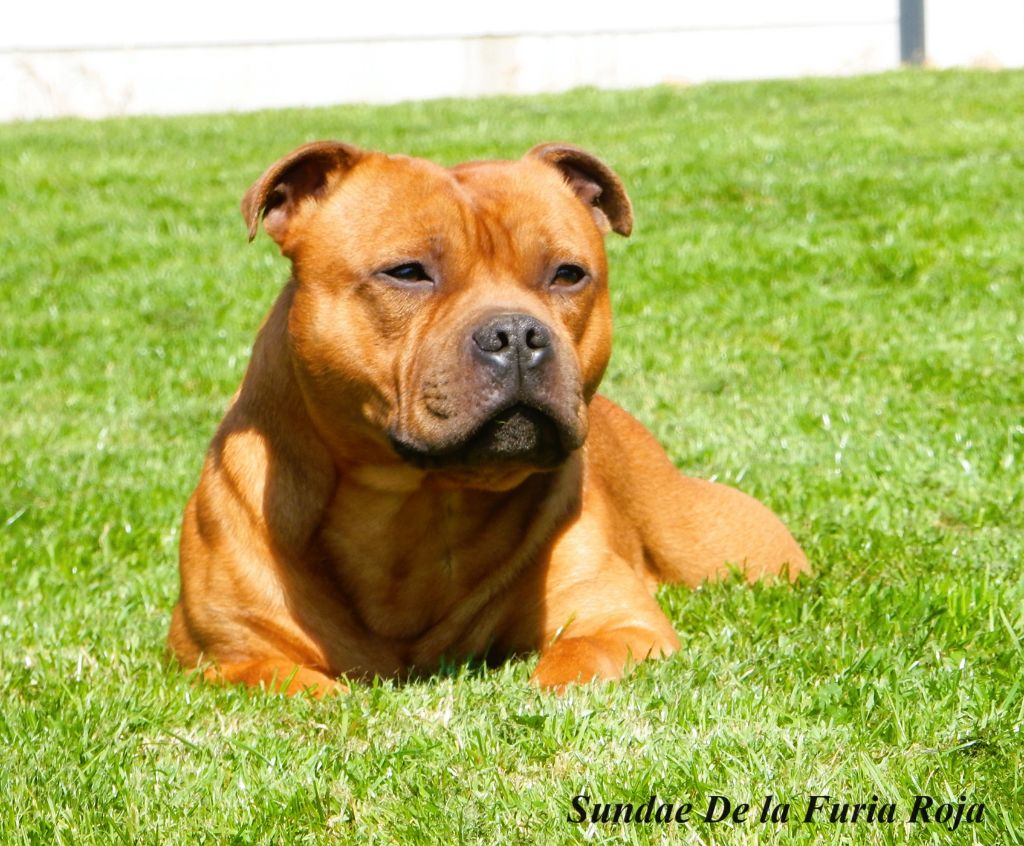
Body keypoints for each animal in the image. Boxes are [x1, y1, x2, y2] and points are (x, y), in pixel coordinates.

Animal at [167, 140, 806, 692]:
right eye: (407, 272)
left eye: (568, 274)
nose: (518, 334)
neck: (424, 498)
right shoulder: (218, 656)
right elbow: (286, 681)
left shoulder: (623, 622)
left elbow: (580, 657)